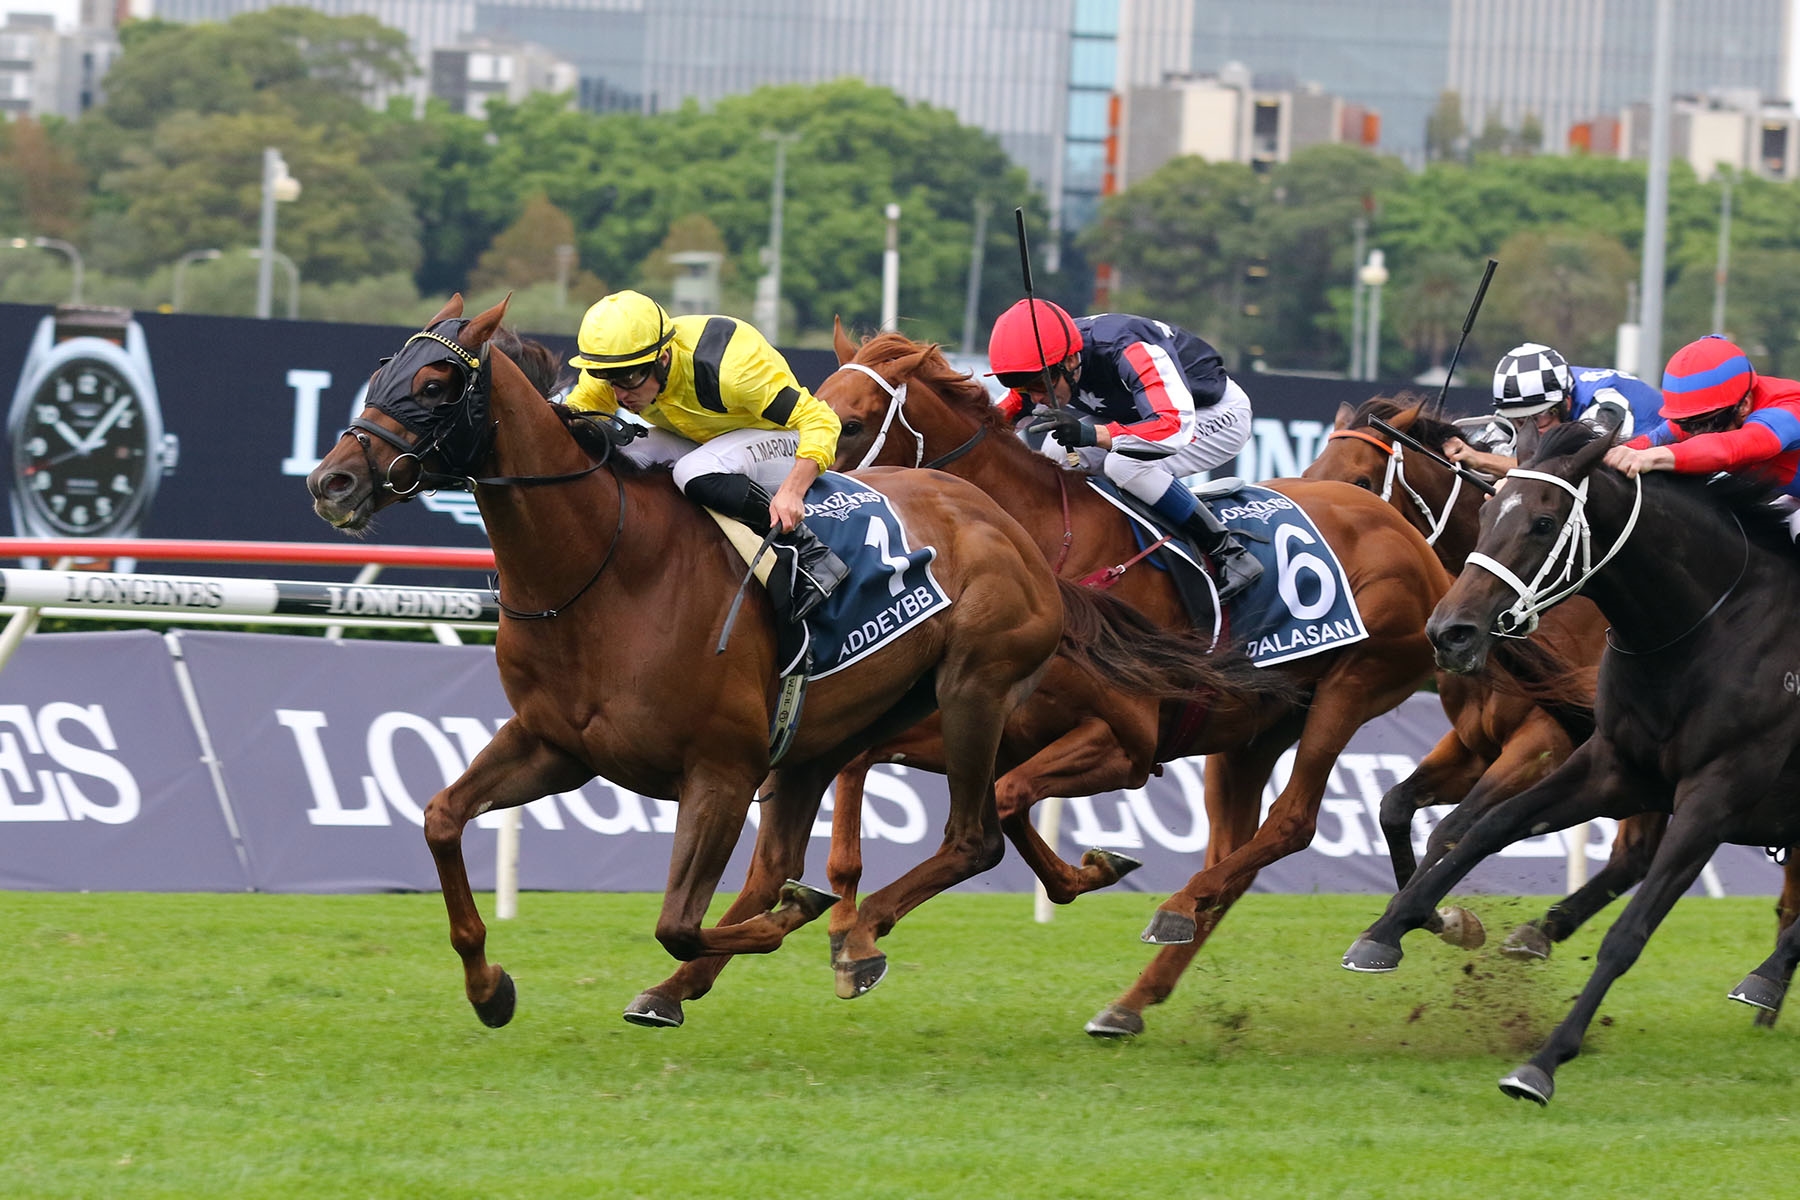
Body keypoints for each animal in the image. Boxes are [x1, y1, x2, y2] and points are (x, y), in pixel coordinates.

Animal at [306, 295, 1238, 1029]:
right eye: (384, 371)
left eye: (436, 385)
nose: (332, 482)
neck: (604, 568)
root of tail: (1005, 526)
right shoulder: (555, 746)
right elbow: (441, 820)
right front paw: (489, 986)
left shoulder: (717, 770)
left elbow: (680, 919)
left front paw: (801, 927)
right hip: (833, 737)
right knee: (810, 854)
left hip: (975, 691)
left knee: (975, 835)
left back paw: (860, 934)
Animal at [1346, 422, 1800, 1108]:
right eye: (1487, 512)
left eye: (1542, 522)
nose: (1449, 632)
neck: (1714, 628)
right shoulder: (1613, 768)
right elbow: (1483, 828)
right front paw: (1389, 930)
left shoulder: (1715, 796)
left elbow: (1628, 933)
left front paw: (1541, 1064)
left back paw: (1766, 978)